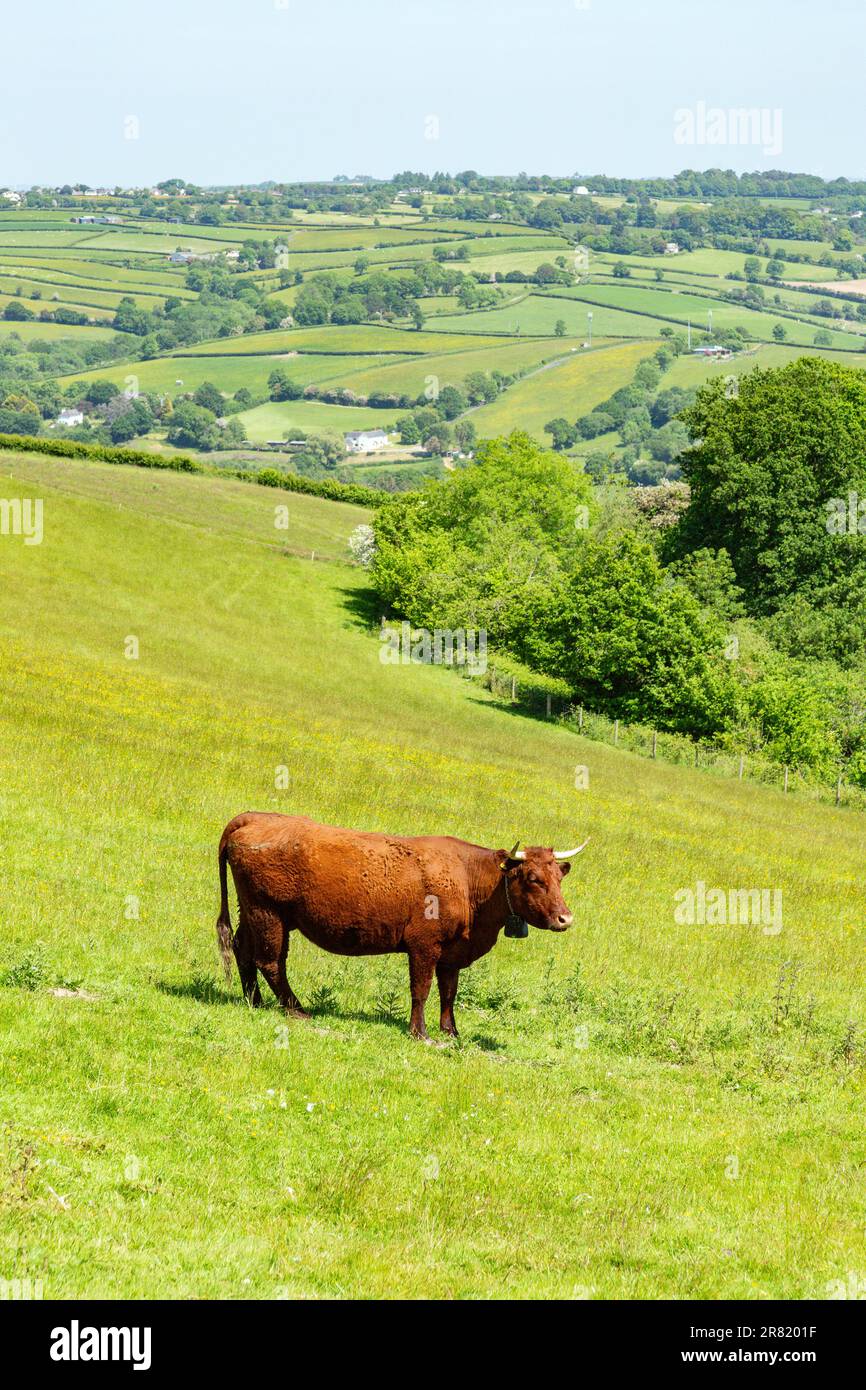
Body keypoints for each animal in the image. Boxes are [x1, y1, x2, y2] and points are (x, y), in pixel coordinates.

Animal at [215, 812, 588, 1041]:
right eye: (533, 878)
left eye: (558, 877)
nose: (565, 918)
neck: (469, 880)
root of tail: (253, 817)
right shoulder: (424, 945)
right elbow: (421, 989)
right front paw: (420, 1033)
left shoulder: (453, 952)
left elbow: (449, 992)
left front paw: (451, 1031)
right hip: (269, 912)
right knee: (270, 960)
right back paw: (296, 1009)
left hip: (254, 912)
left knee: (243, 949)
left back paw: (254, 1001)